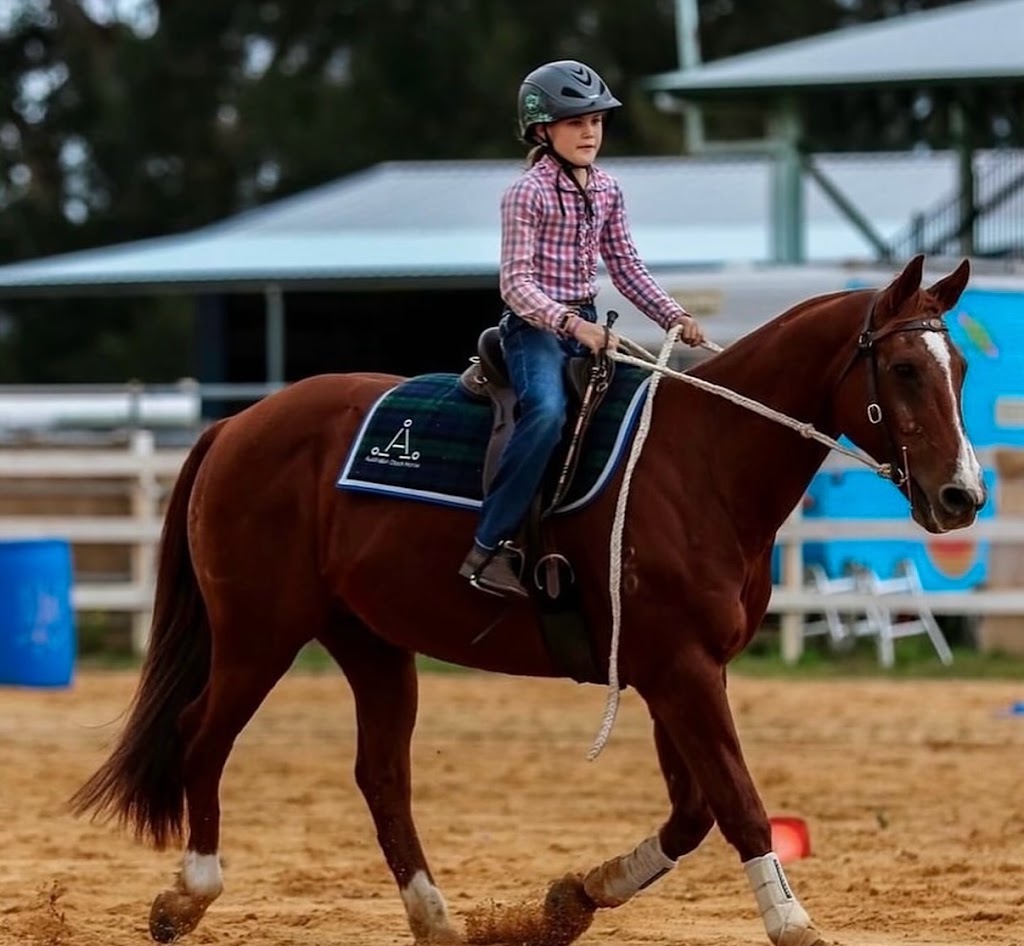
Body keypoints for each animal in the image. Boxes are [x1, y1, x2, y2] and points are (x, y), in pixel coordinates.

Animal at [71, 254, 985, 946]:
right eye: (906, 369)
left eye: (963, 369)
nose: (962, 497)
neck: (703, 463)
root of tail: (237, 426)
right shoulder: (680, 671)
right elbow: (739, 804)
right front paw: (791, 922)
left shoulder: (679, 672)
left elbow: (693, 811)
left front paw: (571, 900)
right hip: (259, 633)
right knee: (202, 736)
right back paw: (186, 897)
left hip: (369, 642)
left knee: (381, 776)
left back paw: (437, 922)